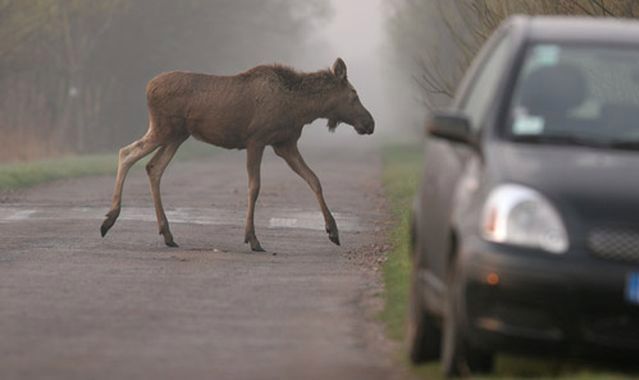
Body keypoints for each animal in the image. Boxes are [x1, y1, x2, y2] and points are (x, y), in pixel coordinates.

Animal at [100, 58, 376, 251]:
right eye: (354, 95)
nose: (370, 123)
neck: (302, 109)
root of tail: (148, 87)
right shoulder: (256, 140)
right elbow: (254, 187)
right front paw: (252, 238)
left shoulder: (285, 144)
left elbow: (314, 180)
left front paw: (333, 231)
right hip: (164, 128)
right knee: (127, 152)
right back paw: (109, 220)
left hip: (177, 135)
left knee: (153, 167)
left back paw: (166, 233)